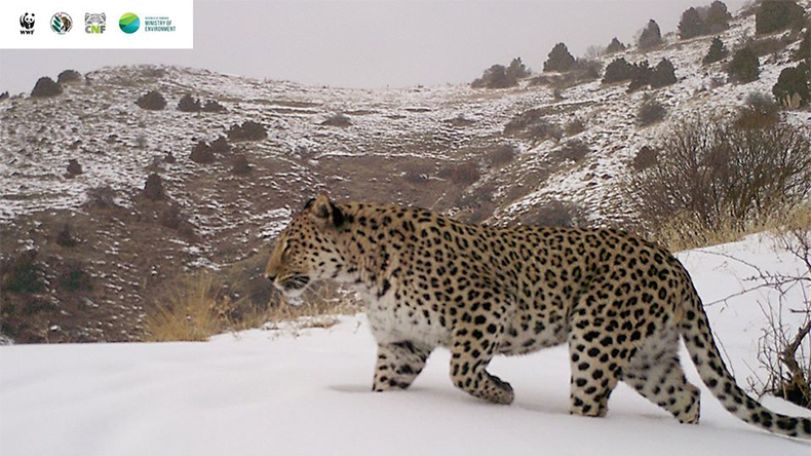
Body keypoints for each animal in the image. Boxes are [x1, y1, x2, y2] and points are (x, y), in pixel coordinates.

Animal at [265, 194, 811, 439]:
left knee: (592, 403)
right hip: (647, 357)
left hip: (596, 337)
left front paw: (503, 394)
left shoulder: (485, 306)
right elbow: (386, 388)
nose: (269, 277)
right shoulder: (401, 345)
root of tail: (671, 259)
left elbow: (462, 369)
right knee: (689, 394)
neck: (362, 270)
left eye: (289, 245)